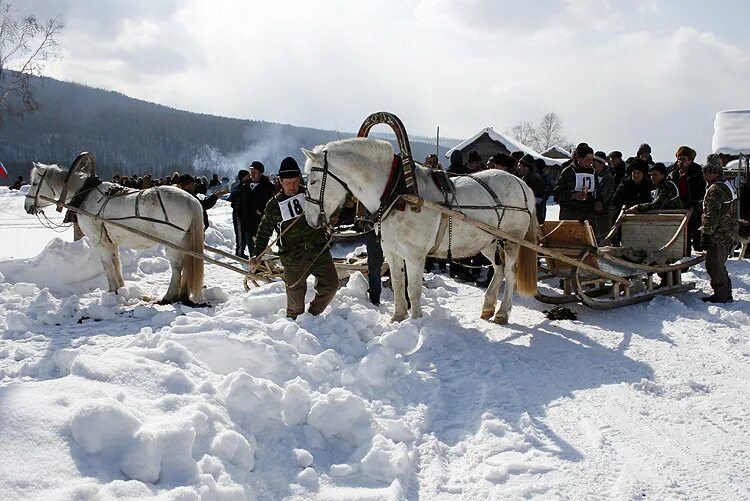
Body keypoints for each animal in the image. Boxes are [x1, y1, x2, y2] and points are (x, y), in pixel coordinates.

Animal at [23, 162, 206, 300]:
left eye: (34, 183)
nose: (26, 206)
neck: (85, 194)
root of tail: (190, 199)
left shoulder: (99, 240)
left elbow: (106, 264)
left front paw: (112, 290)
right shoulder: (111, 241)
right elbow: (115, 262)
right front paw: (121, 288)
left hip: (172, 242)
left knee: (177, 266)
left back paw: (170, 295)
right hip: (185, 240)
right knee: (187, 263)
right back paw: (183, 293)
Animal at [304, 138, 540, 324]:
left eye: (314, 181)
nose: (309, 219)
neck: (397, 193)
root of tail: (523, 185)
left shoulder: (414, 254)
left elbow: (413, 289)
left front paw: (416, 320)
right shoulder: (392, 251)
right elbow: (399, 285)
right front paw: (398, 318)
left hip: (511, 240)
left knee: (510, 272)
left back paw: (502, 313)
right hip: (488, 241)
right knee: (498, 269)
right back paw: (488, 307)